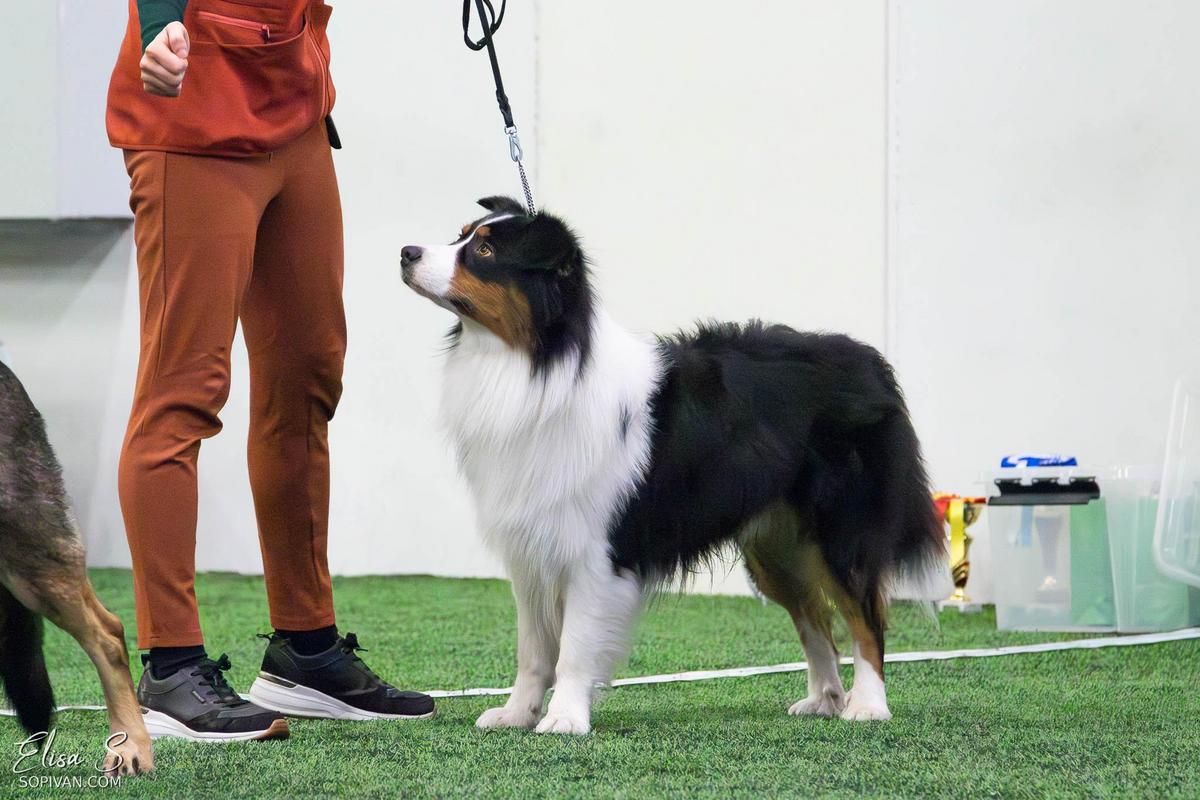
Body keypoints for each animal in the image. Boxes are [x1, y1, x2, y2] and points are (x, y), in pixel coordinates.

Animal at [400, 197, 944, 734]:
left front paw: (564, 718)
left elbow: (574, 645)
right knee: (816, 617)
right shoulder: (532, 545)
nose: (406, 253)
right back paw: (824, 700)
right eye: (461, 235)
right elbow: (533, 650)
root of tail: (870, 362)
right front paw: (516, 714)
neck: (536, 363)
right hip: (776, 545)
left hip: (842, 529)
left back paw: (867, 706)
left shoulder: (597, 549)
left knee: (865, 618)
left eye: (485, 251)